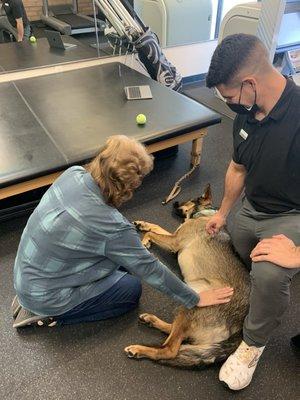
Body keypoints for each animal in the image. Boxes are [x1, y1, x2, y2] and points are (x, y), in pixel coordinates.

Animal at [124, 186, 251, 368]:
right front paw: (143, 224)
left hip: (193, 306)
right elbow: (156, 227)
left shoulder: (174, 242)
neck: (204, 213)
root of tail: (239, 329)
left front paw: (143, 242)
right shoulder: (174, 237)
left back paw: (139, 349)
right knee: (173, 332)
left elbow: (153, 234)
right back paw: (151, 321)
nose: (173, 202)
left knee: (169, 349)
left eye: (190, 199)